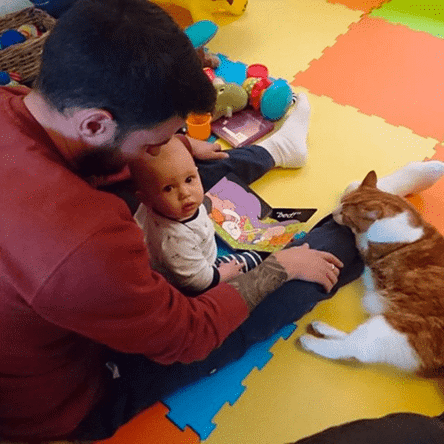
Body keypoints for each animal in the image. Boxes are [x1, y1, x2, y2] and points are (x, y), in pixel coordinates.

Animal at [298, 170, 444, 374]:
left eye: (345, 214)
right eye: (341, 203)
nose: (334, 213)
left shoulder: (370, 244)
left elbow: (361, 239)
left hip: (390, 329)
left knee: (352, 349)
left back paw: (310, 340)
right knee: (350, 343)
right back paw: (321, 328)